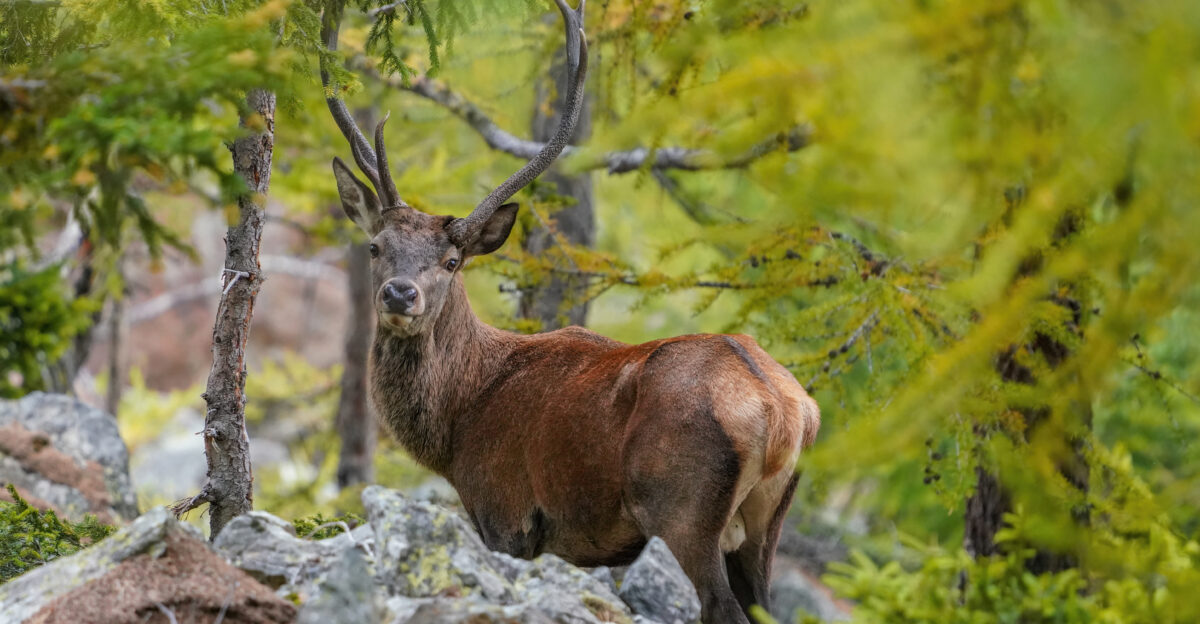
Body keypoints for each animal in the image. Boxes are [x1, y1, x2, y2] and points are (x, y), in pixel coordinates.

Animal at [321, 2, 819, 622]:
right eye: (374, 246)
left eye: (453, 260)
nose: (399, 294)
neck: (459, 423)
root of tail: (783, 410)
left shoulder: (505, 512)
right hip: (766, 523)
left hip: (682, 510)